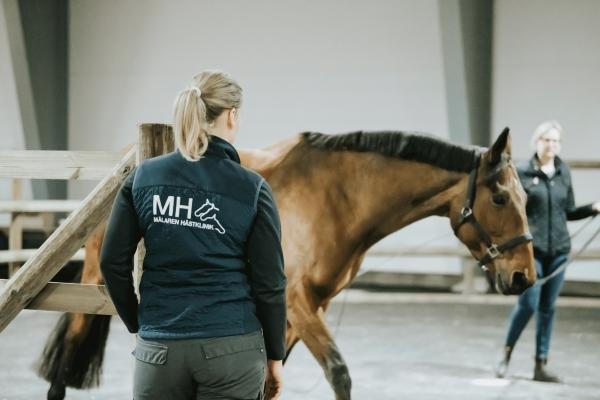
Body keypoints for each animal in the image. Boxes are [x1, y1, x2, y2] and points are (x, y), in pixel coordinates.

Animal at [38, 129, 536, 400]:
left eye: (526, 196)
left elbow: (268, 381)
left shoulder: (296, 313)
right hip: (96, 283)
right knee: (71, 344)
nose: (524, 276)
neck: (337, 197)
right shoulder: (295, 302)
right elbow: (339, 374)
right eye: (499, 197)